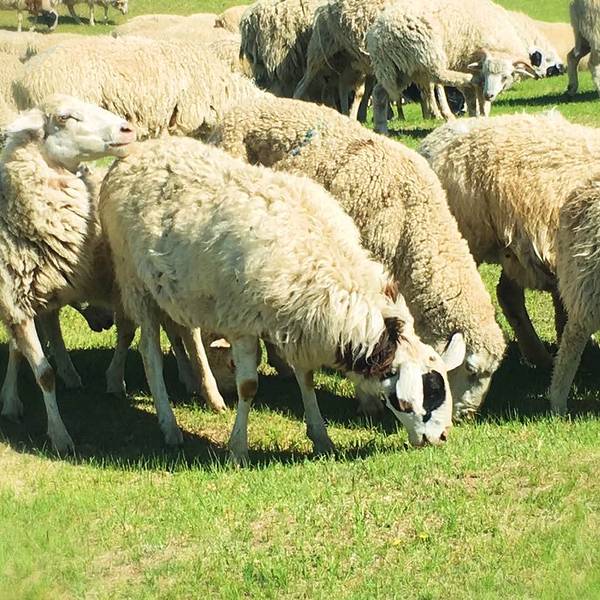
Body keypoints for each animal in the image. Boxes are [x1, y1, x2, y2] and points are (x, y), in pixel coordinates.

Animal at [0, 94, 136, 454]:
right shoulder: (14, 301)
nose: (128, 129)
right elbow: (43, 373)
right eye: (64, 117)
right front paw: (60, 436)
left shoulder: (23, 298)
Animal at [100, 134, 466, 462]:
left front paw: (321, 437)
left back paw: (206, 394)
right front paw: (238, 449)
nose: (442, 437)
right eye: (427, 392)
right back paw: (169, 425)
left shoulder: (299, 321)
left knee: (184, 333)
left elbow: (306, 377)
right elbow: (249, 386)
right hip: (135, 281)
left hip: (179, 290)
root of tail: (135, 153)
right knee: (150, 355)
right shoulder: (243, 323)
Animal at [366, 0, 538, 131]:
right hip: (425, 51)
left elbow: (475, 101)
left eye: (505, 76)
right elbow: (477, 99)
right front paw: (480, 115)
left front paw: (479, 117)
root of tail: (378, 34)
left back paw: (381, 129)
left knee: (379, 92)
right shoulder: (468, 65)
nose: (489, 93)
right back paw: (470, 79)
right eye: (487, 72)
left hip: (400, 67)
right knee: (438, 76)